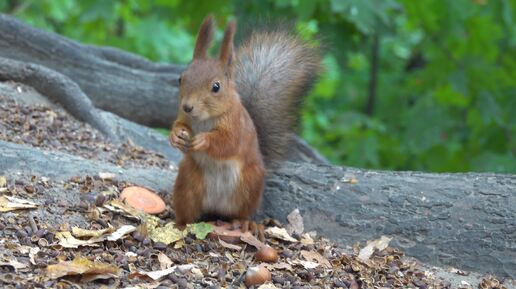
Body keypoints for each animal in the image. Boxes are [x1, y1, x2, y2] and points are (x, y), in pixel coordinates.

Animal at [169, 15, 318, 232]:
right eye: (181, 78)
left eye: (216, 87)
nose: (187, 106)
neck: (204, 119)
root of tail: (216, 208)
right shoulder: (184, 117)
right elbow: (180, 125)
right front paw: (176, 136)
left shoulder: (237, 127)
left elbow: (227, 143)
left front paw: (203, 141)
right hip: (188, 181)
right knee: (188, 210)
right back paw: (179, 224)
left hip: (249, 184)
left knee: (240, 212)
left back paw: (244, 222)